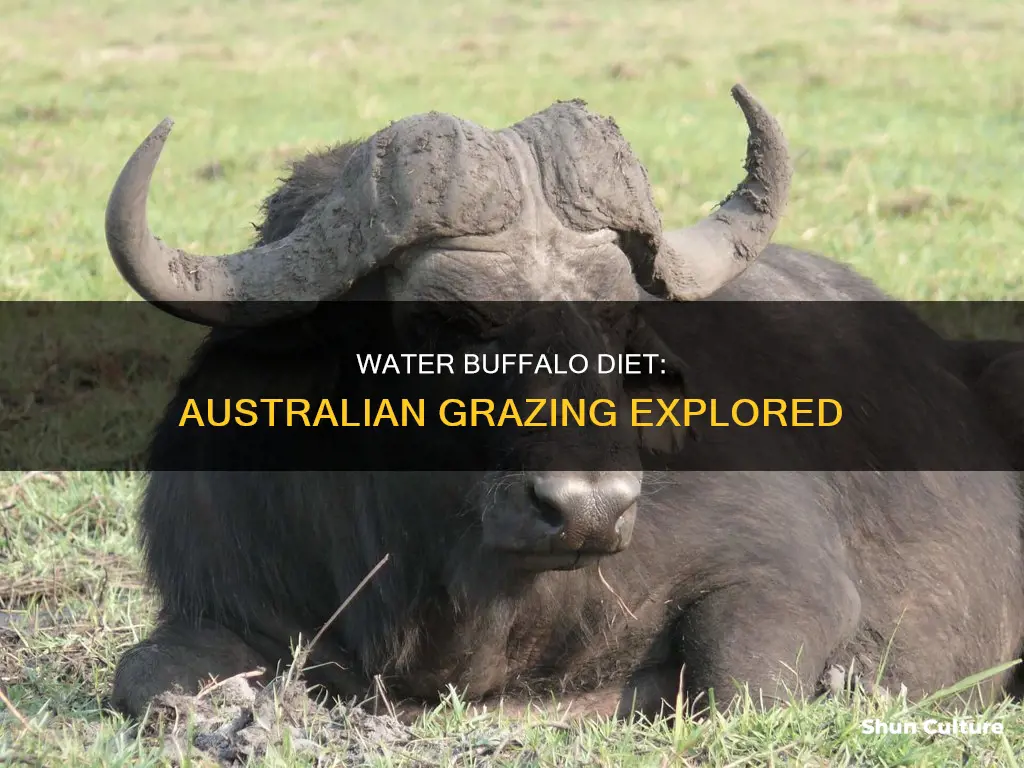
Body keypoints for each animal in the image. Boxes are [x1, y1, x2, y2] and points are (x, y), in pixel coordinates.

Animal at [105, 85, 1024, 721]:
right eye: (447, 319)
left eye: (614, 314)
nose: (588, 509)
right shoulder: (221, 575)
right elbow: (140, 678)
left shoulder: (786, 578)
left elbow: (739, 682)